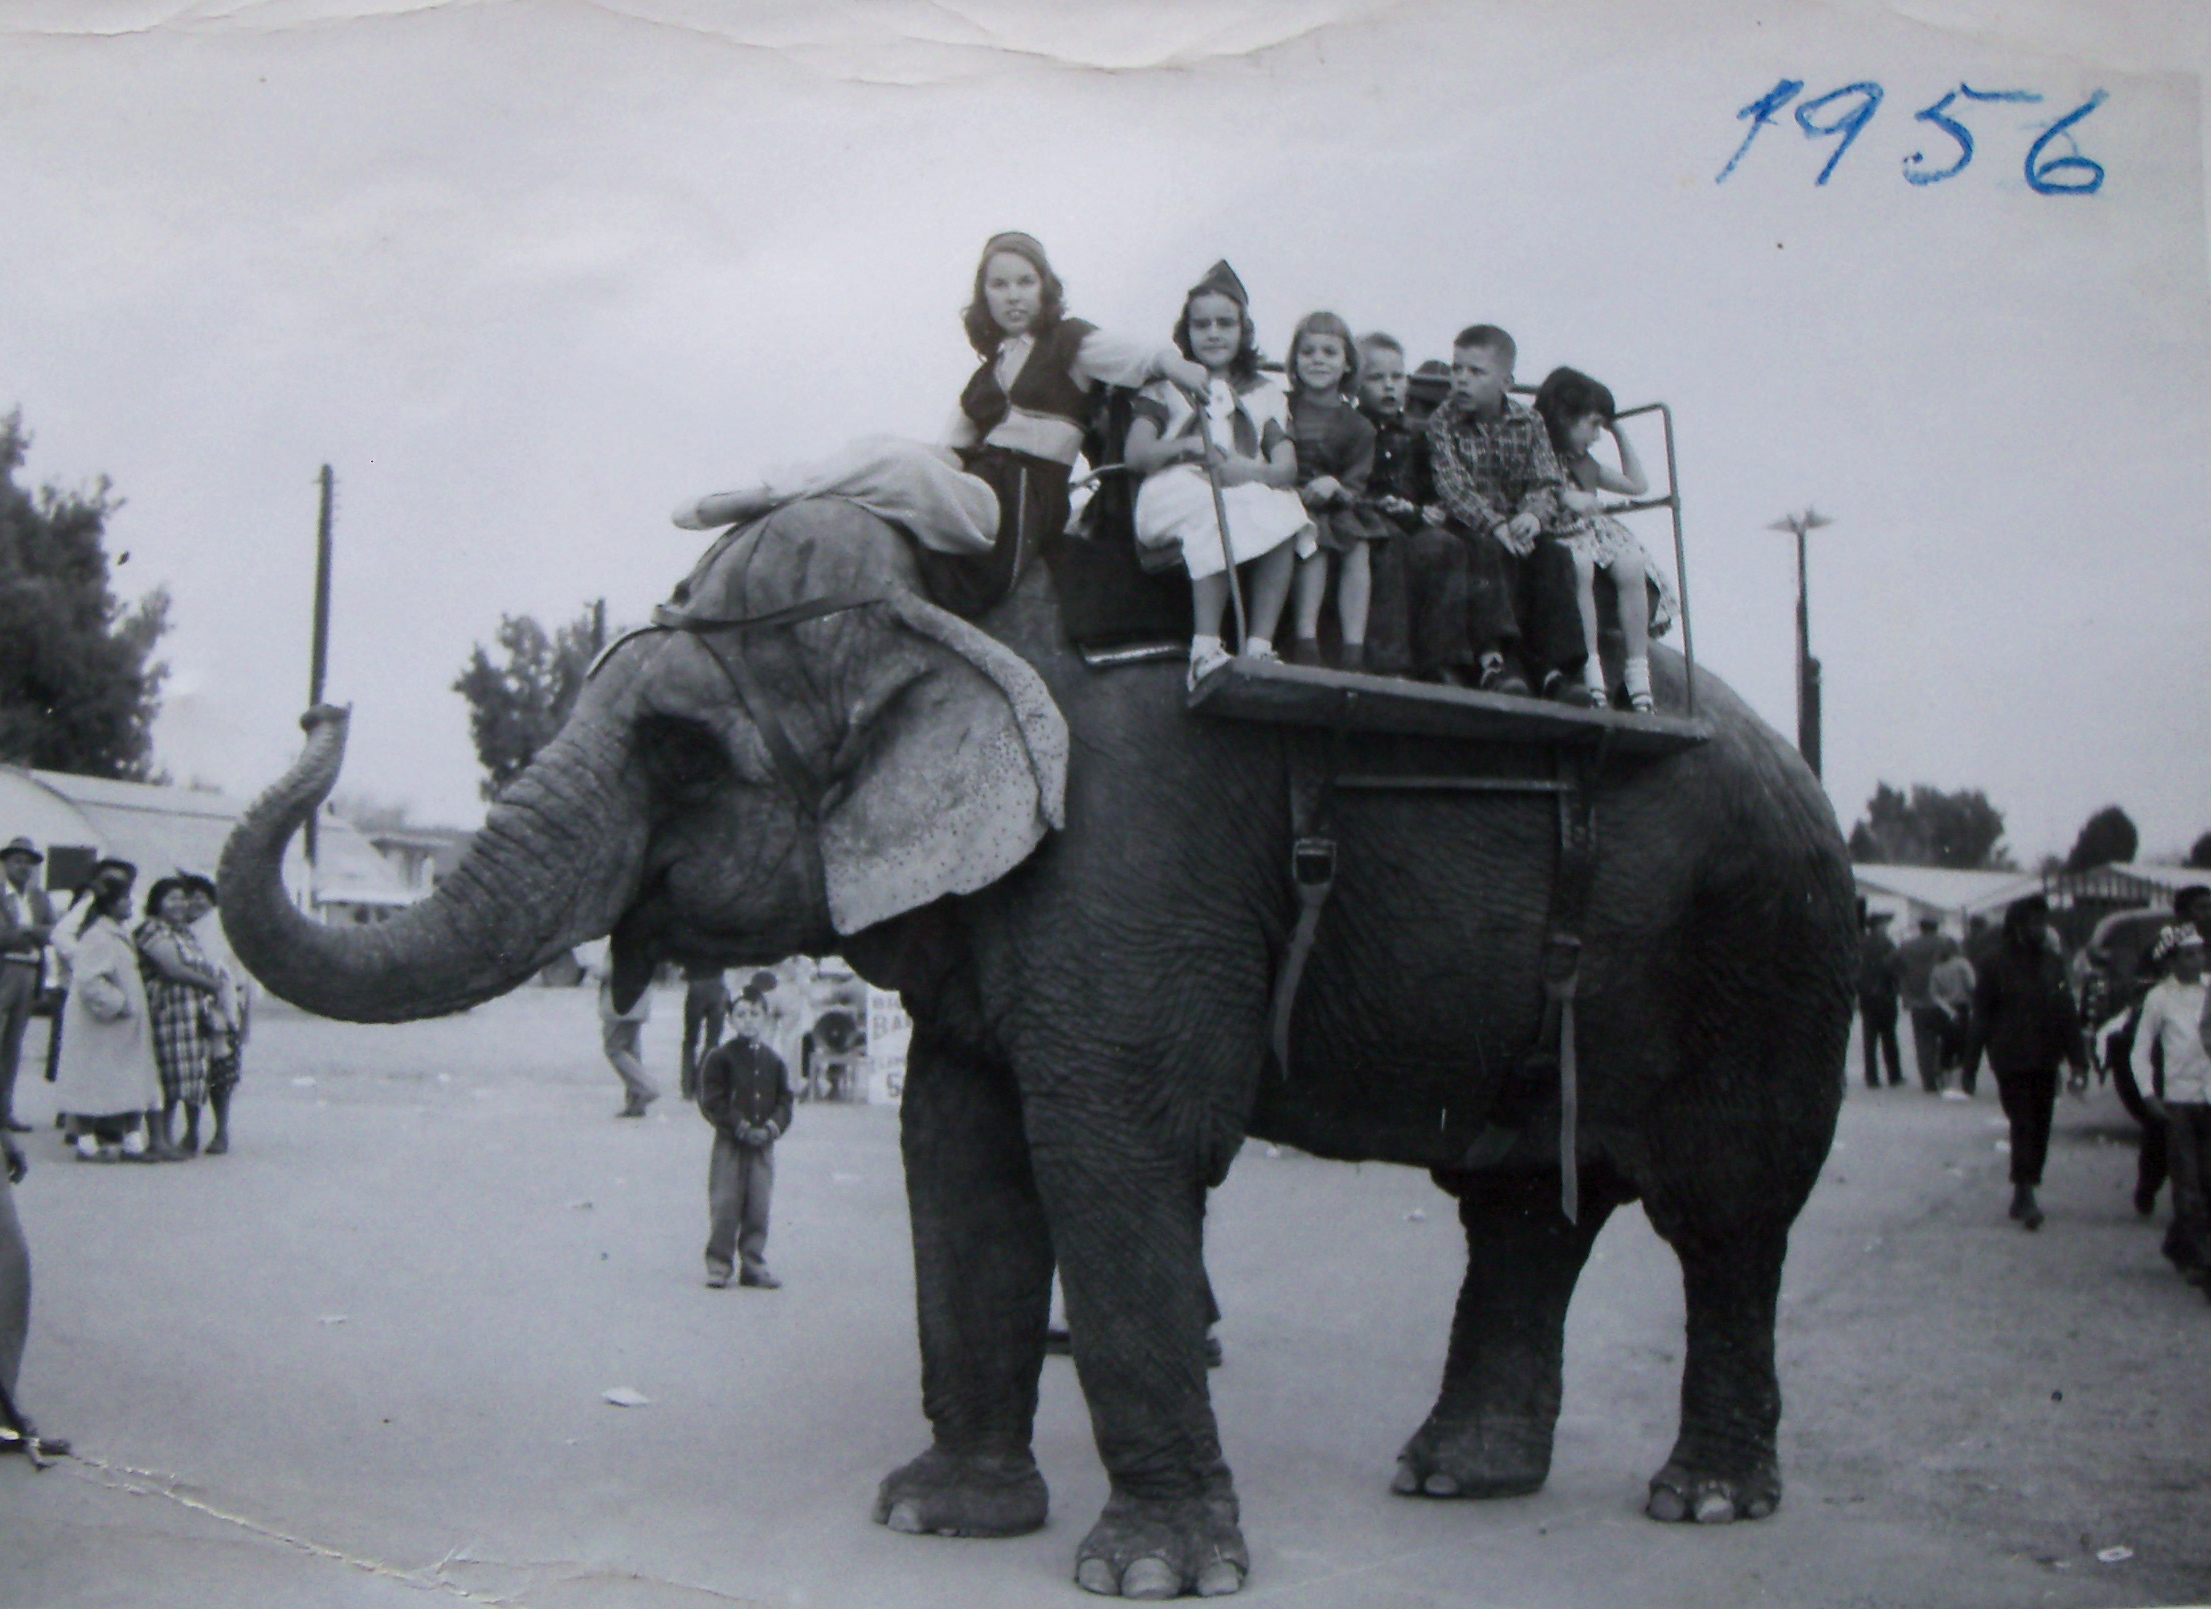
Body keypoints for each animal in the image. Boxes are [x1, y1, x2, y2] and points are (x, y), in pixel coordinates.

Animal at [220, 496, 1856, 1599]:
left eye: (677, 750)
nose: (322, 703)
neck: (959, 604)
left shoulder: (1131, 847)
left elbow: (1112, 1136)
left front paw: (1150, 1576)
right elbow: (957, 1141)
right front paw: (937, 1518)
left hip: (1771, 950)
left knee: (1725, 1213)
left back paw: (1702, 1501)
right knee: (1523, 1207)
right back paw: (1455, 1475)